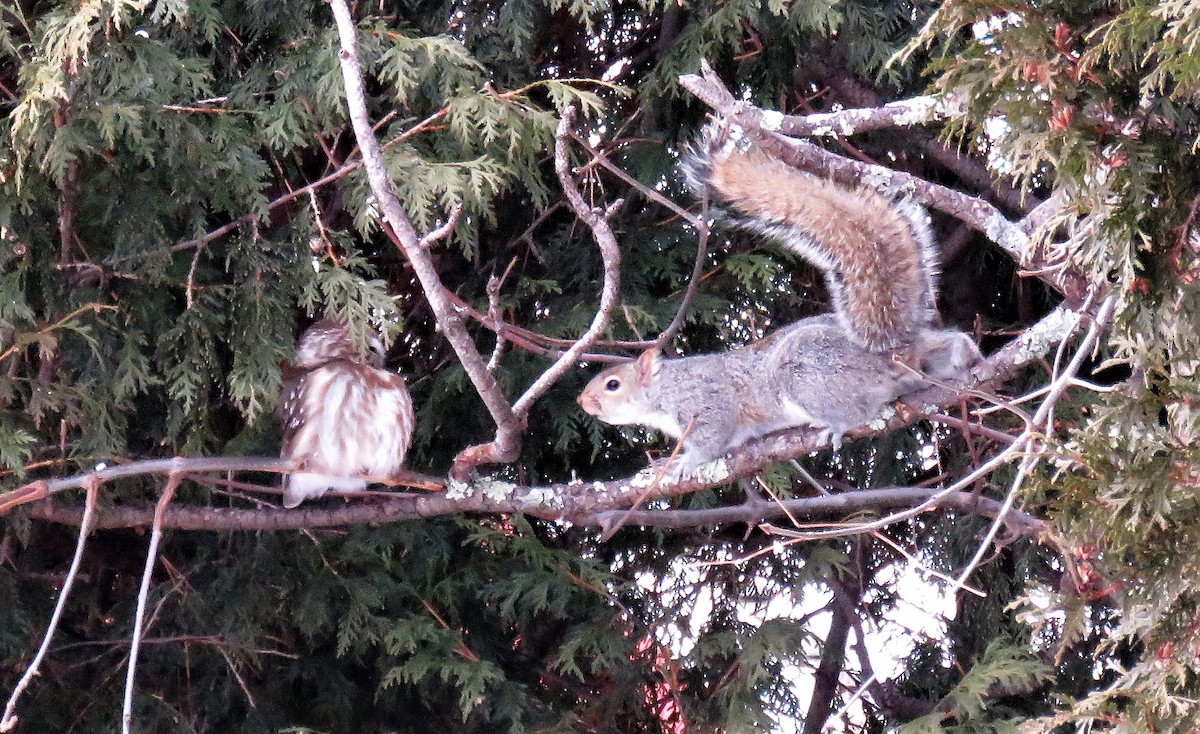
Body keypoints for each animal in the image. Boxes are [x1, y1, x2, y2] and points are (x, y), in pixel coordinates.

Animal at [576, 127, 979, 474]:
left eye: (613, 384)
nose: (583, 402)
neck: (665, 389)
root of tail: (891, 353)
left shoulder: (706, 404)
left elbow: (712, 440)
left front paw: (681, 463)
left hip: (806, 374)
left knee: (860, 411)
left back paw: (839, 424)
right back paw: (964, 354)